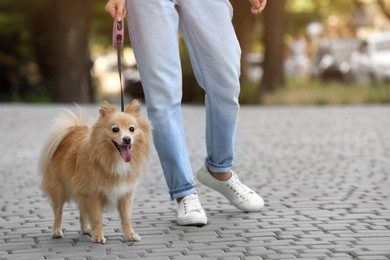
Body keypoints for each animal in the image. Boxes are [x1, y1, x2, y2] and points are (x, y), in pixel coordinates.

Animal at [37, 100, 151, 244]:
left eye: (132, 129)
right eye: (115, 129)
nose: (127, 139)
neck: (114, 159)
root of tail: (72, 130)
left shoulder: (125, 193)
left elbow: (126, 217)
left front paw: (130, 234)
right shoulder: (92, 194)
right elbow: (97, 218)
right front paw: (98, 237)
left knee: (82, 211)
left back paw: (86, 229)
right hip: (59, 190)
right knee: (58, 211)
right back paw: (57, 231)